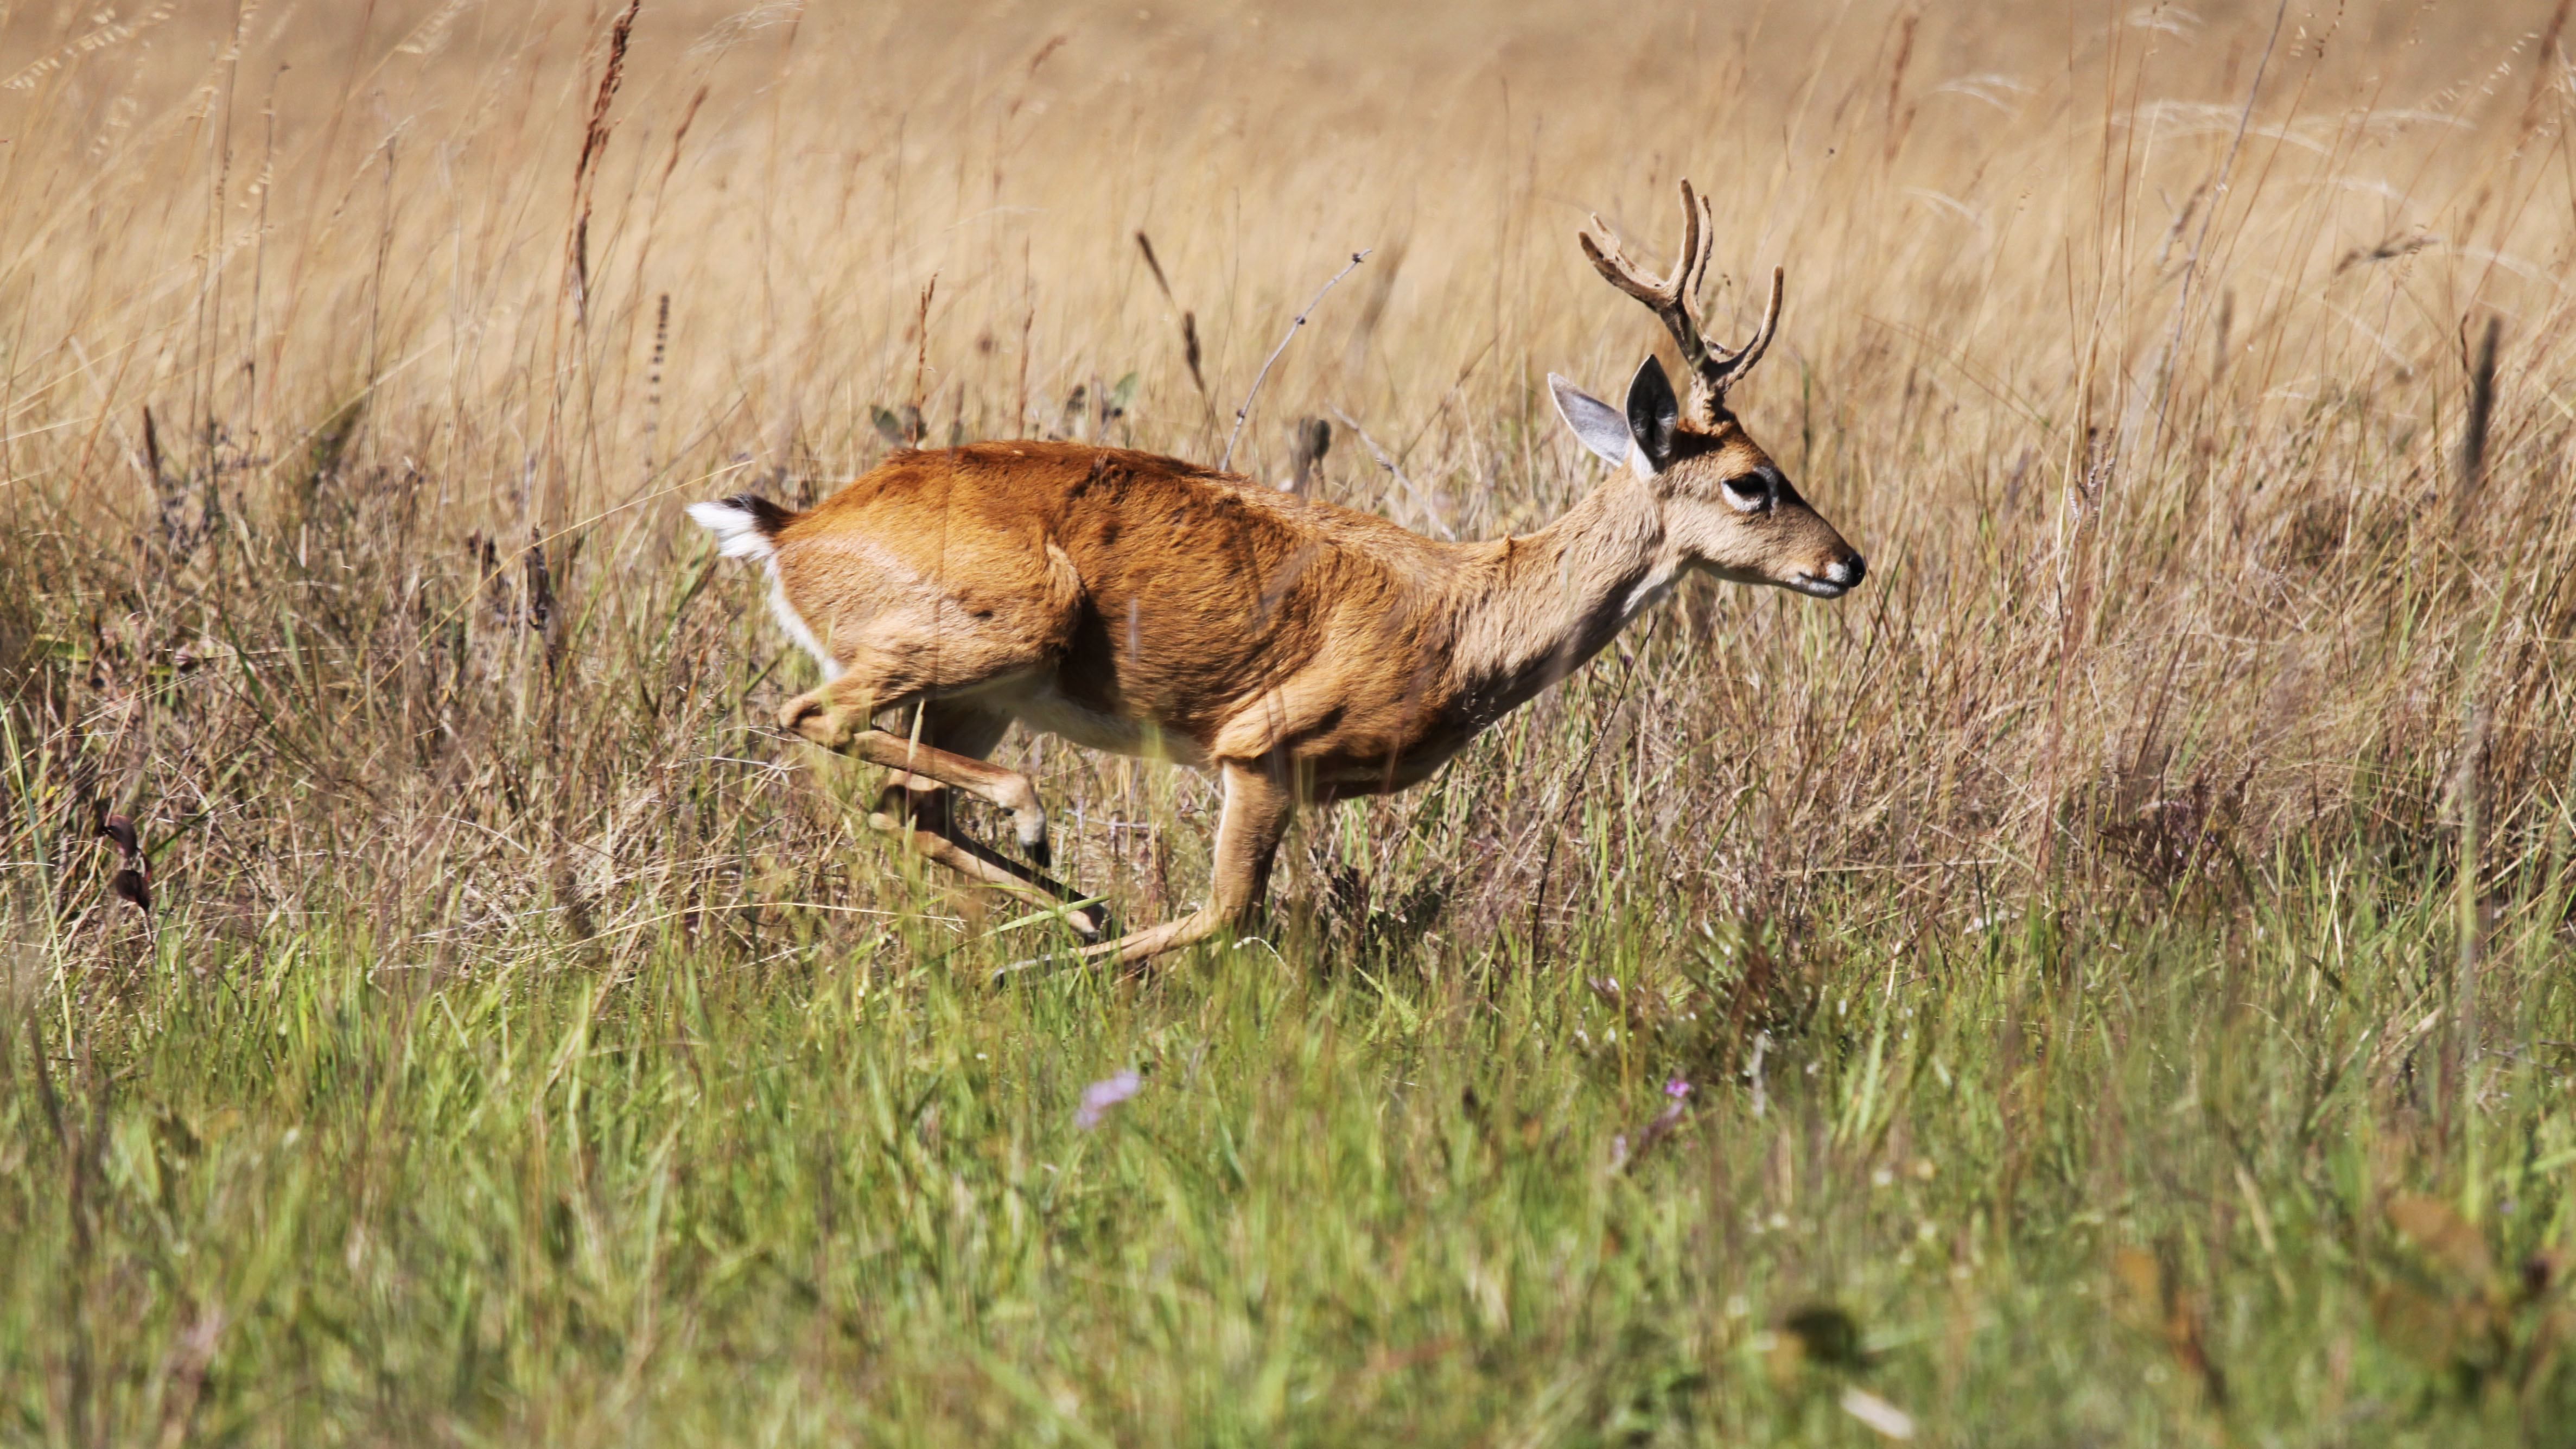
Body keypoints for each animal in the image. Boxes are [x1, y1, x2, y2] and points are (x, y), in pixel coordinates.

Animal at [685, 180, 1854, 969]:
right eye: (1752, 481)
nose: (1847, 562)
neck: (1466, 619)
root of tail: (792, 531)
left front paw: (1064, 942)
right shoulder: (1260, 747)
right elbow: (1225, 912)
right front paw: (1058, 969)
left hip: (983, 691)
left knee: (903, 804)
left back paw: (1060, 899)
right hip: (1001, 628)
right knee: (815, 716)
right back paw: (1039, 850)